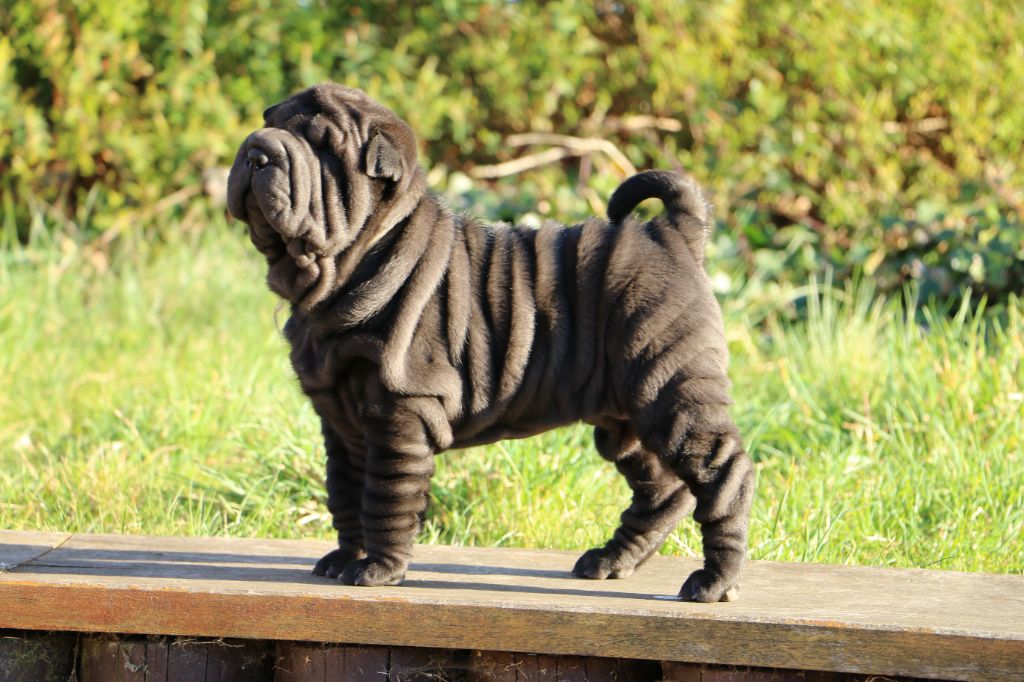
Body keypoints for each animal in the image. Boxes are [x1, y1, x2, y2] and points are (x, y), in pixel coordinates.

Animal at [226, 83, 753, 602]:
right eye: (270, 122)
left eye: (323, 148)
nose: (257, 149)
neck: (343, 269)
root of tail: (672, 233)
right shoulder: (339, 419)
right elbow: (345, 491)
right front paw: (344, 558)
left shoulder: (399, 411)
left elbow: (384, 495)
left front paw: (378, 569)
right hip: (624, 416)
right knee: (663, 490)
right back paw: (609, 562)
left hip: (672, 390)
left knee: (725, 474)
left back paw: (714, 581)